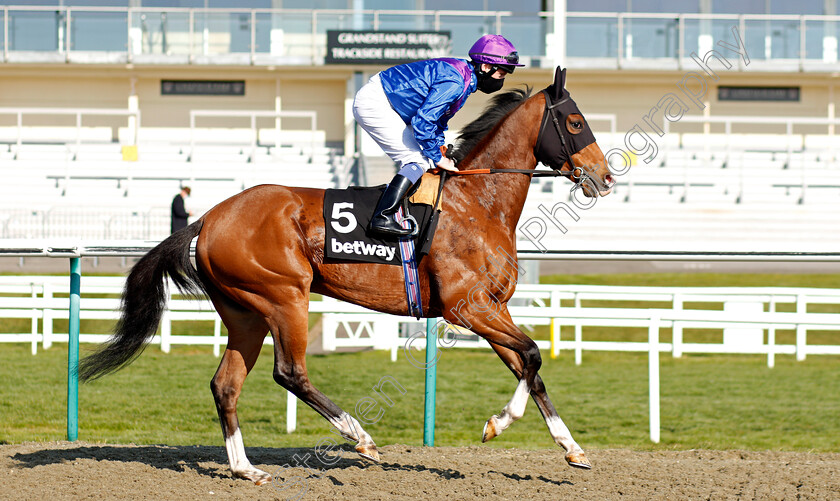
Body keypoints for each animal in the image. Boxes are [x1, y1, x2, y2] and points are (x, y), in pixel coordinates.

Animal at [79, 67, 612, 484]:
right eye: (575, 121)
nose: (606, 177)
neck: (477, 204)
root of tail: (209, 217)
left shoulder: (492, 308)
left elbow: (530, 368)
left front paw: (572, 449)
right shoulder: (469, 309)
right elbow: (533, 354)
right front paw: (498, 424)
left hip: (244, 312)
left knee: (225, 384)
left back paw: (245, 468)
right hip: (284, 297)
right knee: (290, 372)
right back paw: (360, 437)